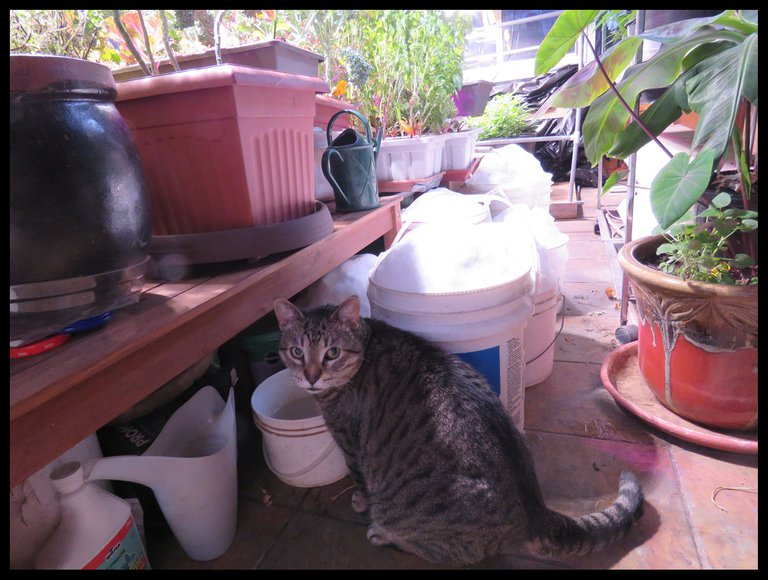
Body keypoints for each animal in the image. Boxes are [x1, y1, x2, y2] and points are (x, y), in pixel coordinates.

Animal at [272, 294, 644, 568]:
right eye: (296, 351)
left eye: (332, 352)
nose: (311, 376)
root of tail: (536, 513)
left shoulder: (349, 441)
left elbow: (360, 478)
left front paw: (362, 501)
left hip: (418, 517)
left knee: (448, 552)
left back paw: (384, 534)